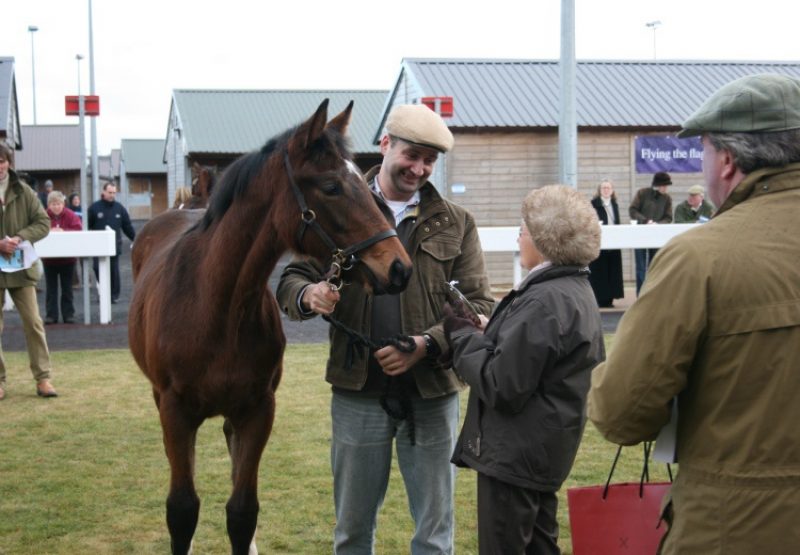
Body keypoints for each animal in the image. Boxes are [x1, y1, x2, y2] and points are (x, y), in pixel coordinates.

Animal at [130, 101, 412, 555]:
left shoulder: (258, 409)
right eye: (331, 186)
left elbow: (242, 512)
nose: (399, 267)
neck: (217, 308)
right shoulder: (175, 410)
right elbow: (182, 509)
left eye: (362, 179)